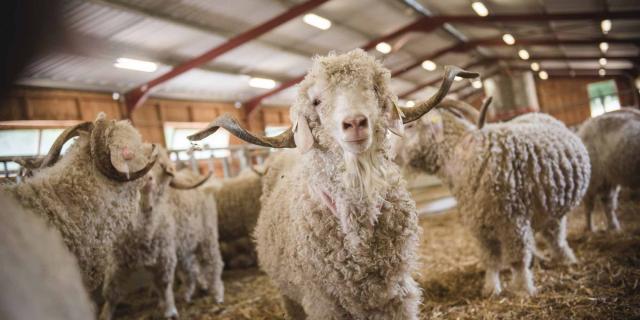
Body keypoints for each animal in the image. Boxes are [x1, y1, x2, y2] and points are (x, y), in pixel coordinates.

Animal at [188, 48, 478, 318]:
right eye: (316, 101)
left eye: (373, 89)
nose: (355, 122)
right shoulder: (324, 303)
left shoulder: (398, 295)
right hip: (288, 293)